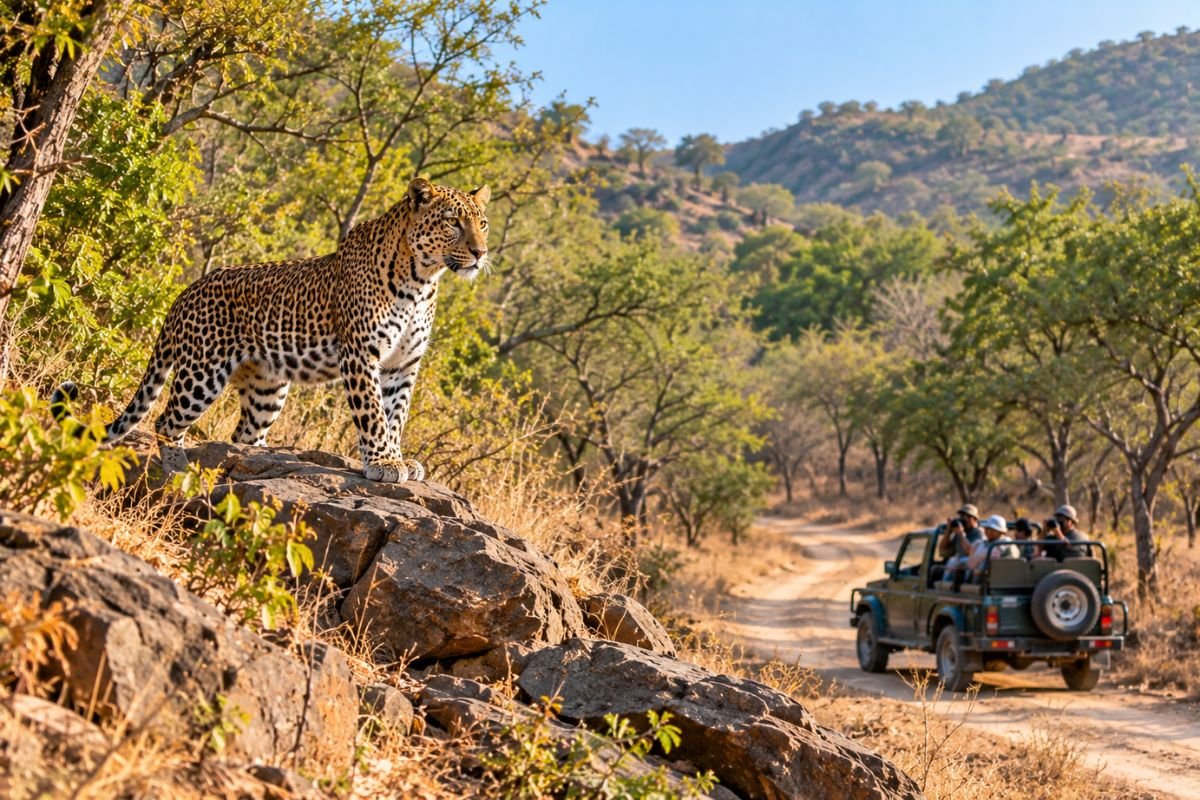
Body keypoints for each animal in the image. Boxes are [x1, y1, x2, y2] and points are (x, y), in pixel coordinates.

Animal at [51, 177, 490, 483]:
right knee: (166, 422)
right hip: (201, 372)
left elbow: (396, 414)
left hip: (268, 387)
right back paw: (178, 470)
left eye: (482, 223)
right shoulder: (361, 354)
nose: (481, 252)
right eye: (452, 222)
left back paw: (262, 460)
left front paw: (397, 457)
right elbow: (373, 414)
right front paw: (383, 462)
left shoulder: (403, 363)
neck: (422, 280)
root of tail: (185, 292)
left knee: (243, 435)